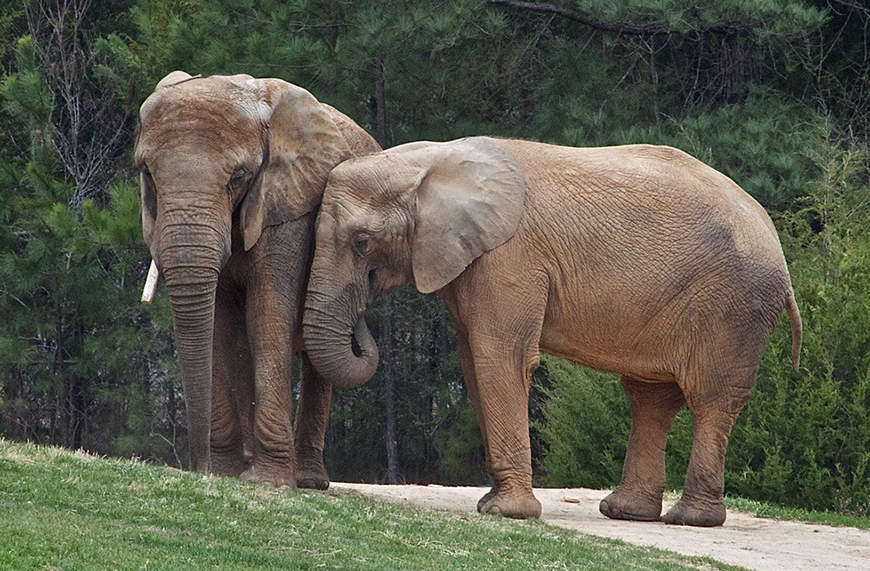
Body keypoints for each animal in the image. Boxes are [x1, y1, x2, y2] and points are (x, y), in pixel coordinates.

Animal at [302, 135, 804, 528]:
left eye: (362, 242)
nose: (362, 316)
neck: (433, 160)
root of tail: (777, 245)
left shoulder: (510, 258)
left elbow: (499, 357)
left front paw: (506, 514)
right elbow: (474, 361)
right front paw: (492, 505)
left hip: (732, 308)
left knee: (709, 399)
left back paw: (690, 520)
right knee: (650, 398)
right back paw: (627, 512)